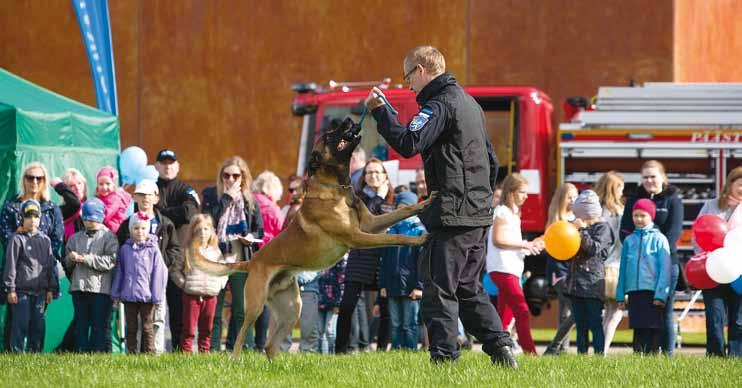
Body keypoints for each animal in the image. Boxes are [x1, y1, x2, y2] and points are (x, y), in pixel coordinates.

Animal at [190, 116, 436, 360]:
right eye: (328, 135)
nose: (348, 120)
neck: (338, 187)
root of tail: (253, 261)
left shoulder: (370, 224)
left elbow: (402, 212)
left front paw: (426, 202)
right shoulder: (357, 236)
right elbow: (395, 237)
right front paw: (419, 239)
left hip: (291, 308)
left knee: (270, 345)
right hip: (255, 305)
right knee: (242, 336)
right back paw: (236, 360)